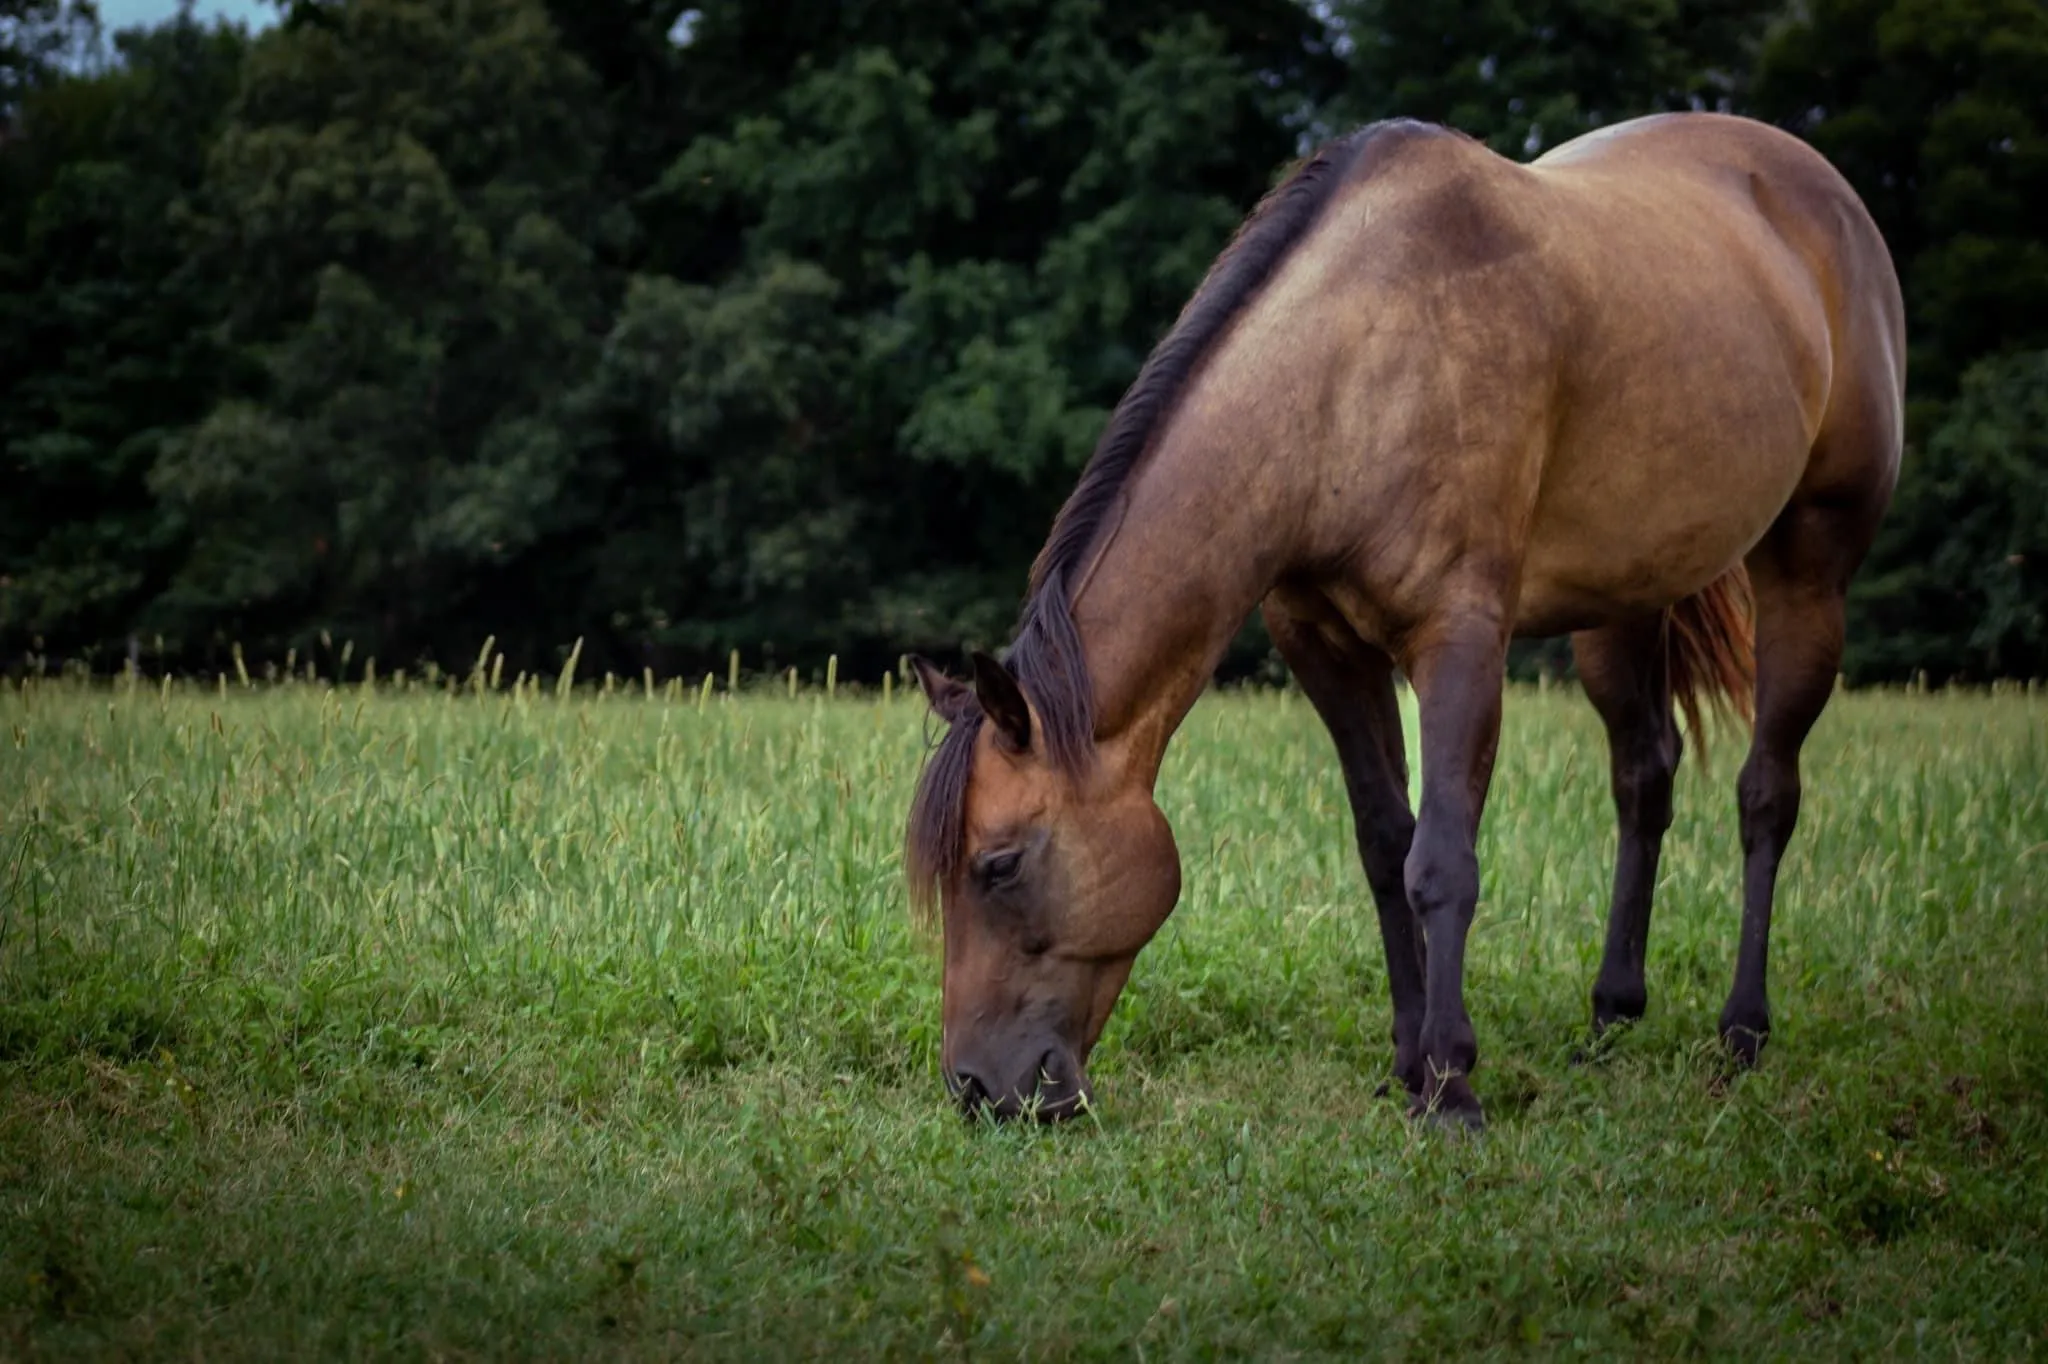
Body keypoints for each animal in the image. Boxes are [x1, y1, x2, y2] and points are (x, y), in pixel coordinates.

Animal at [904, 111, 1905, 1130]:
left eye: (999, 866)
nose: (977, 1087)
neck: (1353, 374)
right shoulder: (1325, 648)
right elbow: (1387, 847)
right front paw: (1406, 1065)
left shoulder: (1458, 642)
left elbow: (1443, 861)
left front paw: (1452, 1083)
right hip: (1624, 598)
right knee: (1643, 780)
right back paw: (1610, 1020)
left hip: (1809, 567)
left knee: (1765, 793)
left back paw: (1742, 1034)